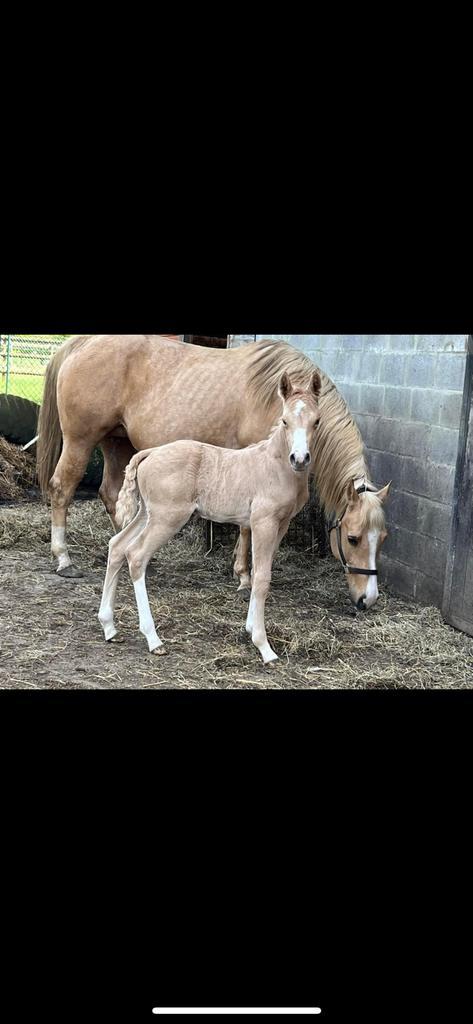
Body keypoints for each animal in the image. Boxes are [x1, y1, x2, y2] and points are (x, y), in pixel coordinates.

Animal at [98, 372, 321, 667]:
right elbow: (262, 578)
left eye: (316, 421)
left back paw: (109, 627)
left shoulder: (282, 524)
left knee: (117, 546)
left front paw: (250, 628)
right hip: (168, 517)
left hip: (147, 512)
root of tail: (151, 453)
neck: (275, 466)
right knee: (136, 555)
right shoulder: (263, 522)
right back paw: (153, 639)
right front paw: (264, 647)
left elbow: (259, 573)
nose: (300, 458)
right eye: (284, 420)